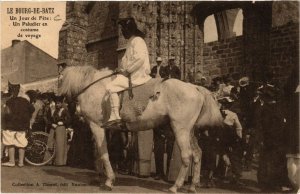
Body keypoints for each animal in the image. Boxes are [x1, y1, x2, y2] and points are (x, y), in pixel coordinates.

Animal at [59, 66, 223, 193]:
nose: (71, 115)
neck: (95, 87)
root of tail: (195, 87)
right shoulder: (103, 129)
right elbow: (99, 152)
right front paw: (99, 177)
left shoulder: (96, 126)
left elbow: (103, 153)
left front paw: (108, 181)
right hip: (190, 131)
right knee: (197, 154)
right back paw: (192, 186)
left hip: (180, 129)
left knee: (186, 155)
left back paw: (175, 186)